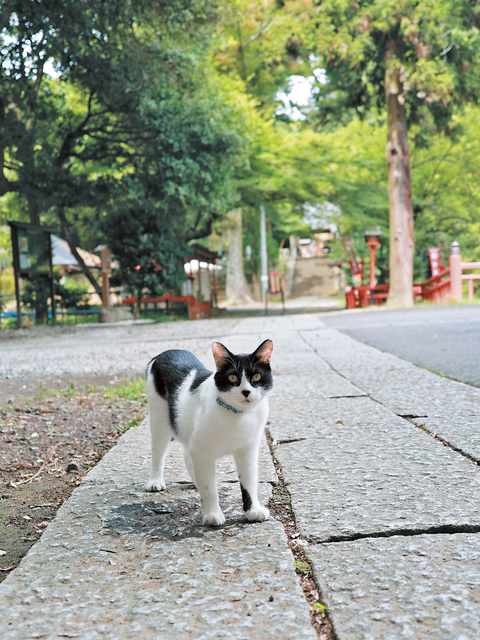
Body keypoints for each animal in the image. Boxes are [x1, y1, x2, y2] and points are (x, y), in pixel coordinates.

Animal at [144, 340, 274, 524]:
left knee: (187, 455)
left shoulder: (247, 450)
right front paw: (212, 514)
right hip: (159, 420)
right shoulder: (201, 451)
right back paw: (155, 480)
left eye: (256, 377)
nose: (246, 392)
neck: (237, 414)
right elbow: (209, 487)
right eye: (232, 377)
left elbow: (249, 482)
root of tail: (162, 354)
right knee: (157, 451)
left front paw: (252, 510)